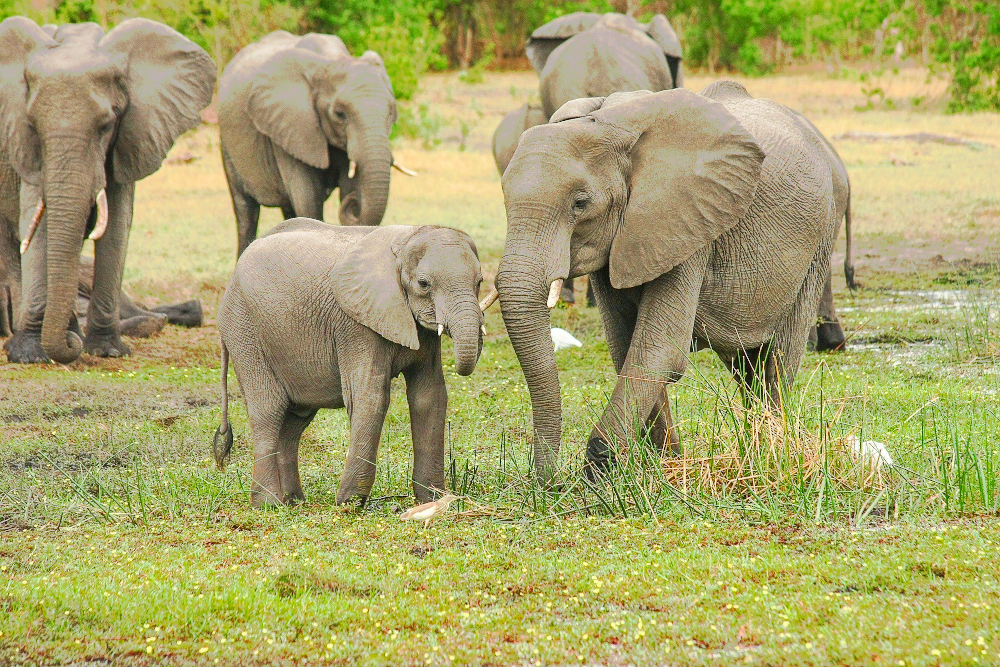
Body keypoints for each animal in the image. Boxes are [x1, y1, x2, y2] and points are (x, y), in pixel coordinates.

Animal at [0, 18, 217, 366]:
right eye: (32, 126)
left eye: (106, 126)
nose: (70, 346)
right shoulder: (24, 147)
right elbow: (38, 223)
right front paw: (29, 355)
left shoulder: (130, 135)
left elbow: (116, 225)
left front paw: (107, 350)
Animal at [213, 219, 486, 506]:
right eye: (424, 284)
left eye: (479, 281)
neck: (406, 239)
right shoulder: (356, 324)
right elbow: (370, 397)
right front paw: (349, 503)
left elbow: (429, 396)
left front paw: (432, 500)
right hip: (244, 330)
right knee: (268, 410)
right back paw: (269, 504)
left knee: (295, 420)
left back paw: (294, 500)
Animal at [218, 31, 406, 258]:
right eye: (340, 114)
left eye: (392, 112)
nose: (353, 204)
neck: (330, 61)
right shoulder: (291, 127)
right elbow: (308, 200)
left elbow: (347, 186)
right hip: (227, 145)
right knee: (246, 211)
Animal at [488, 86, 840, 480]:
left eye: (580, 203)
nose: (549, 484)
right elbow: (625, 346)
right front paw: (663, 466)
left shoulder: (688, 223)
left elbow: (659, 350)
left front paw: (601, 472)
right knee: (745, 366)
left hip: (818, 243)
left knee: (776, 361)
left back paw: (770, 454)